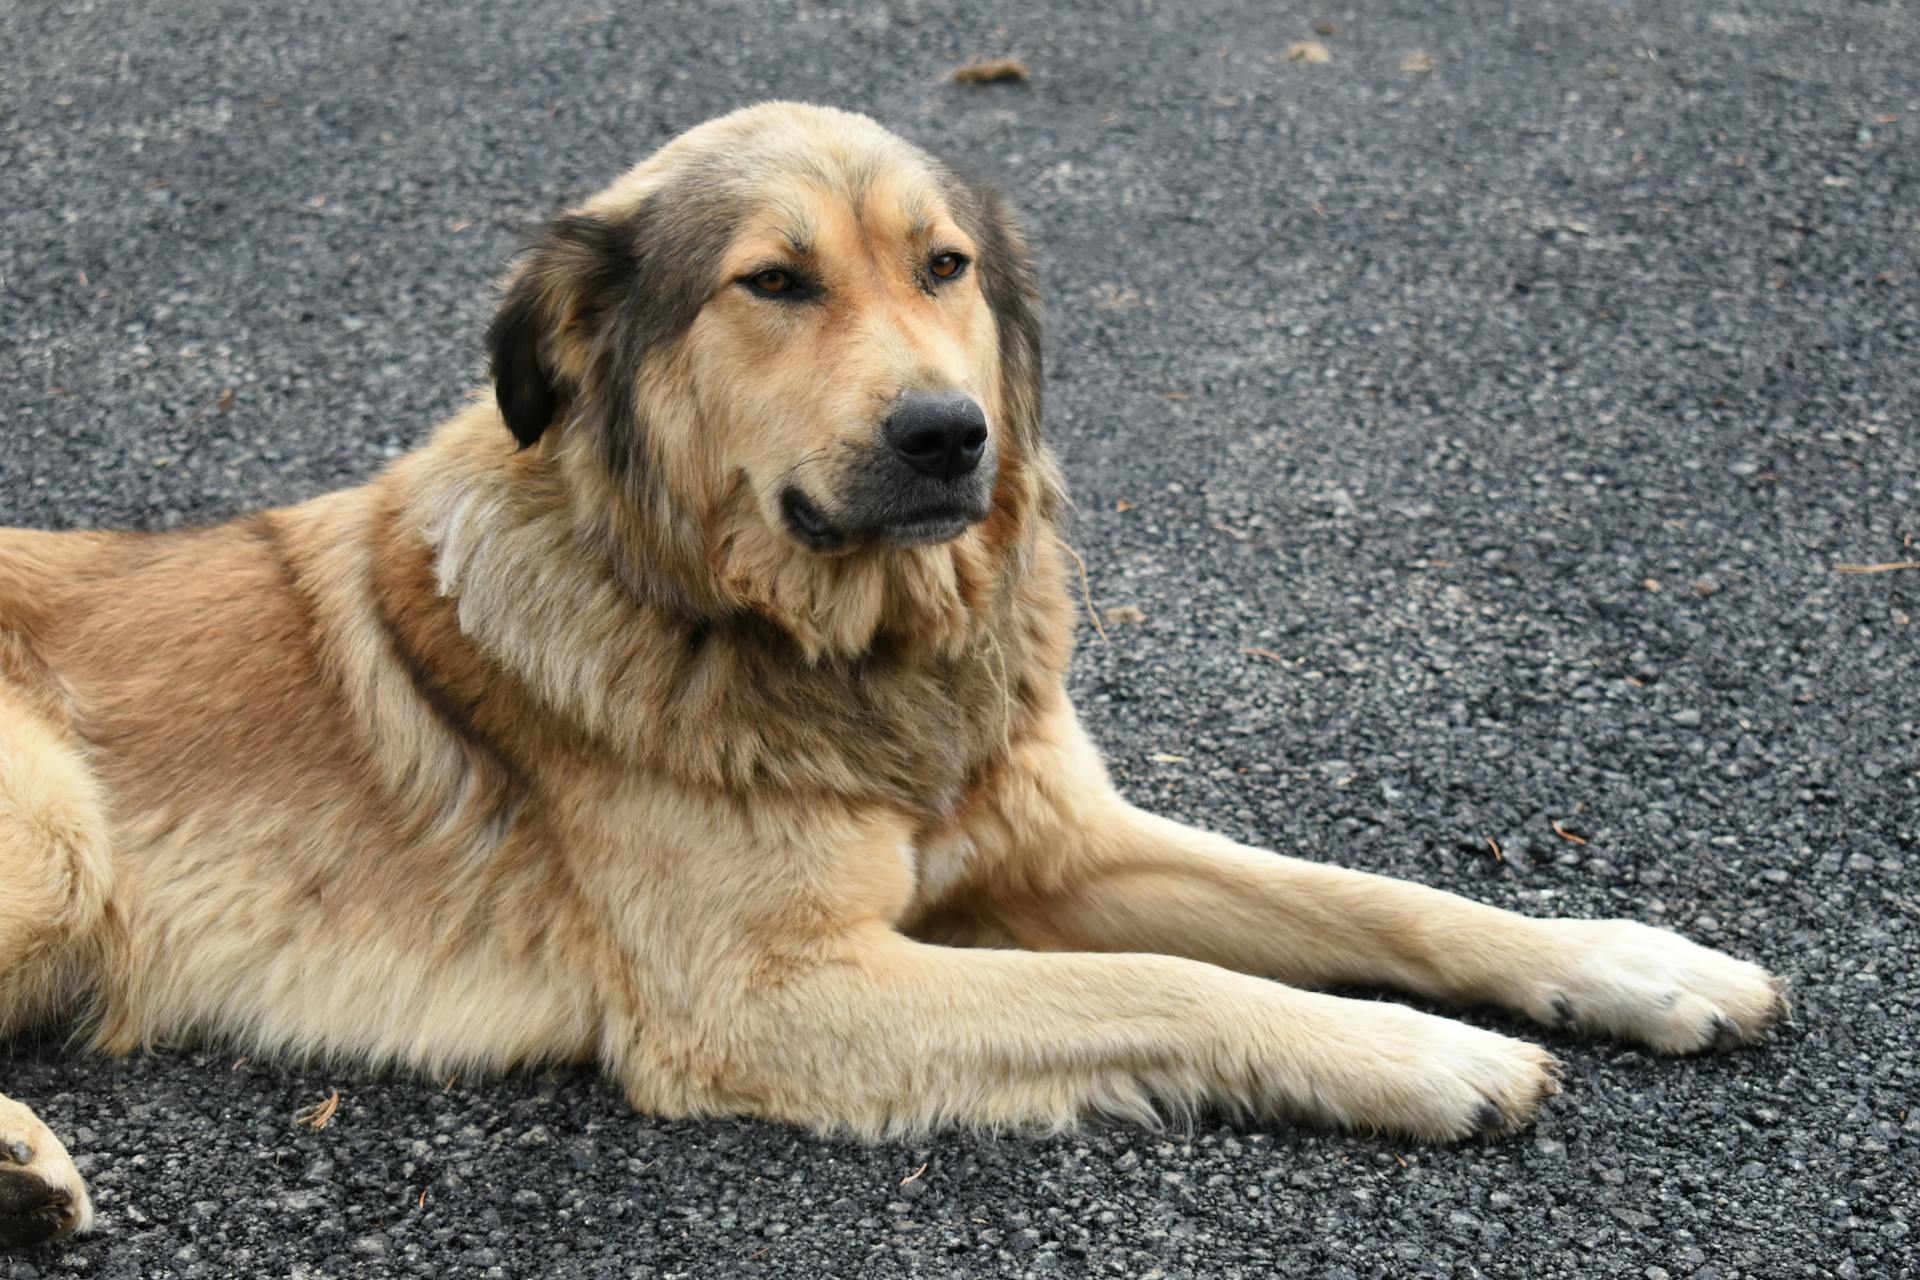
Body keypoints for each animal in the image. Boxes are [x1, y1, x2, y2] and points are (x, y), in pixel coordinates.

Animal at [0, 105, 1781, 1243]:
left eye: (944, 269)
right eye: (774, 282)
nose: (949, 435)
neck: (836, 642)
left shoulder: (1060, 843)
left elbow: (1377, 900)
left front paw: (1629, 961)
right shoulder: (772, 996)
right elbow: (1176, 984)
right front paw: (1420, 1056)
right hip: (61, 838)